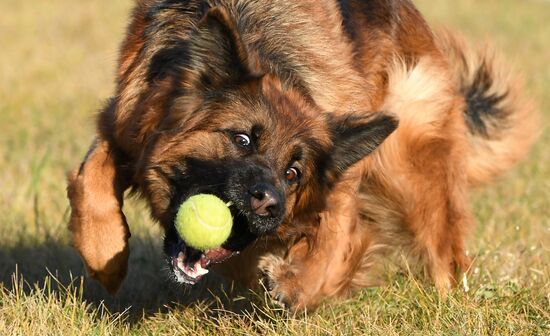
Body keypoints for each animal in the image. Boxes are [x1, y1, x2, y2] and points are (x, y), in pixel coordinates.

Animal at [68, 0, 540, 312]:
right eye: (242, 139)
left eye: (294, 171)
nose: (268, 204)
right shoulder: (124, 122)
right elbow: (92, 178)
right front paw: (105, 256)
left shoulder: (342, 177)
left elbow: (331, 243)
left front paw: (298, 284)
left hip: (407, 160)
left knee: (444, 252)